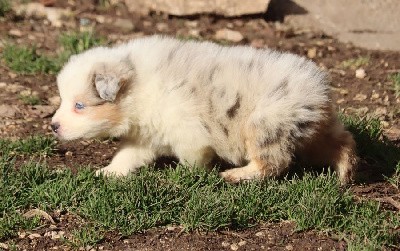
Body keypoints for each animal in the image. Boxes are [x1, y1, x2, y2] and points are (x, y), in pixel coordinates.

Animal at [51, 35, 358, 184]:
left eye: (79, 105)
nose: (53, 126)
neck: (139, 86)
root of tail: (319, 91)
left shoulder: (188, 133)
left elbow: (193, 158)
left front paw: (191, 174)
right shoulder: (146, 135)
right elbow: (127, 155)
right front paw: (108, 172)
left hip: (265, 123)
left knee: (272, 163)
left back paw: (236, 175)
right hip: (312, 130)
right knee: (343, 141)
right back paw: (345, 174)